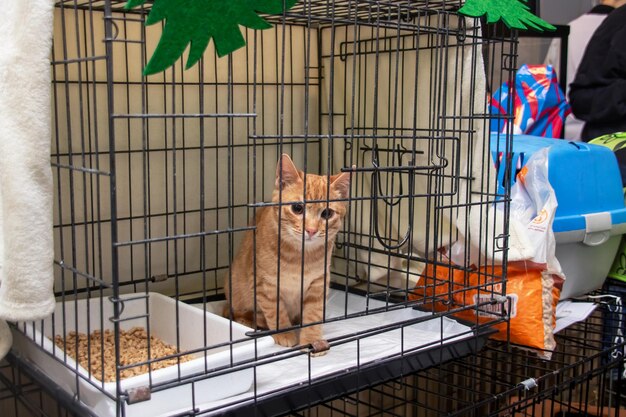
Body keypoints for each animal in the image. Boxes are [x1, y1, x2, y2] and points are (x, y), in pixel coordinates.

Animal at [224, 154, 352, 352]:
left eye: (327, 213)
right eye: (297, 208)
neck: (299, 256)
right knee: (238, 313)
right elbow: (276, 311)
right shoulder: (265, 284)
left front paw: (312, 339)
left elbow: (313, 314)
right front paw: (284, 333)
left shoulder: (319, 283)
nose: (311, 230)